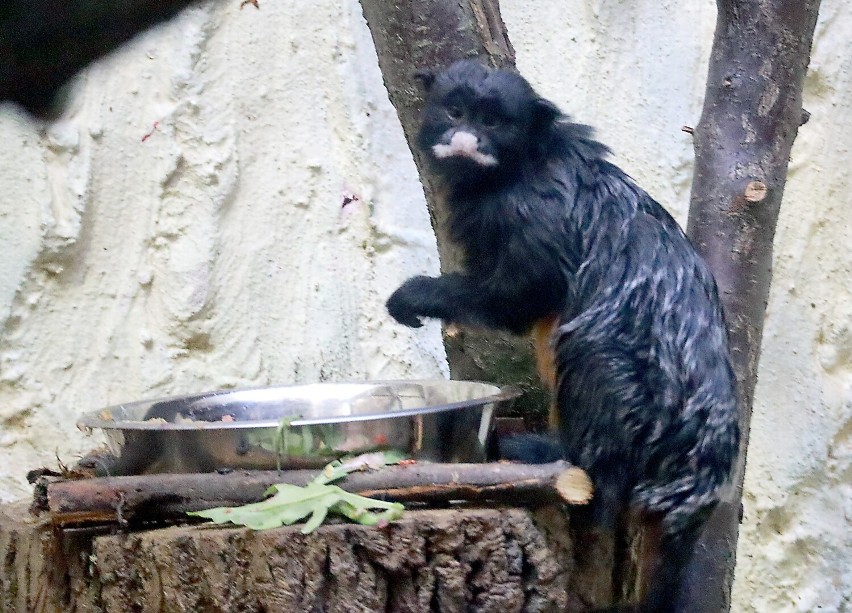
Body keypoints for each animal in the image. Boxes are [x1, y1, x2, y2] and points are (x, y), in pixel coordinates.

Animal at [386, 59, 740, 608]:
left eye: (492, 122)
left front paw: (418, 295)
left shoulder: (532, 211)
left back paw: (560, 457)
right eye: (456, 111)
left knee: (593, 347)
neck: (515, 169)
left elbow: (520, 297)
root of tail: (700, 468)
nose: (465, 138)